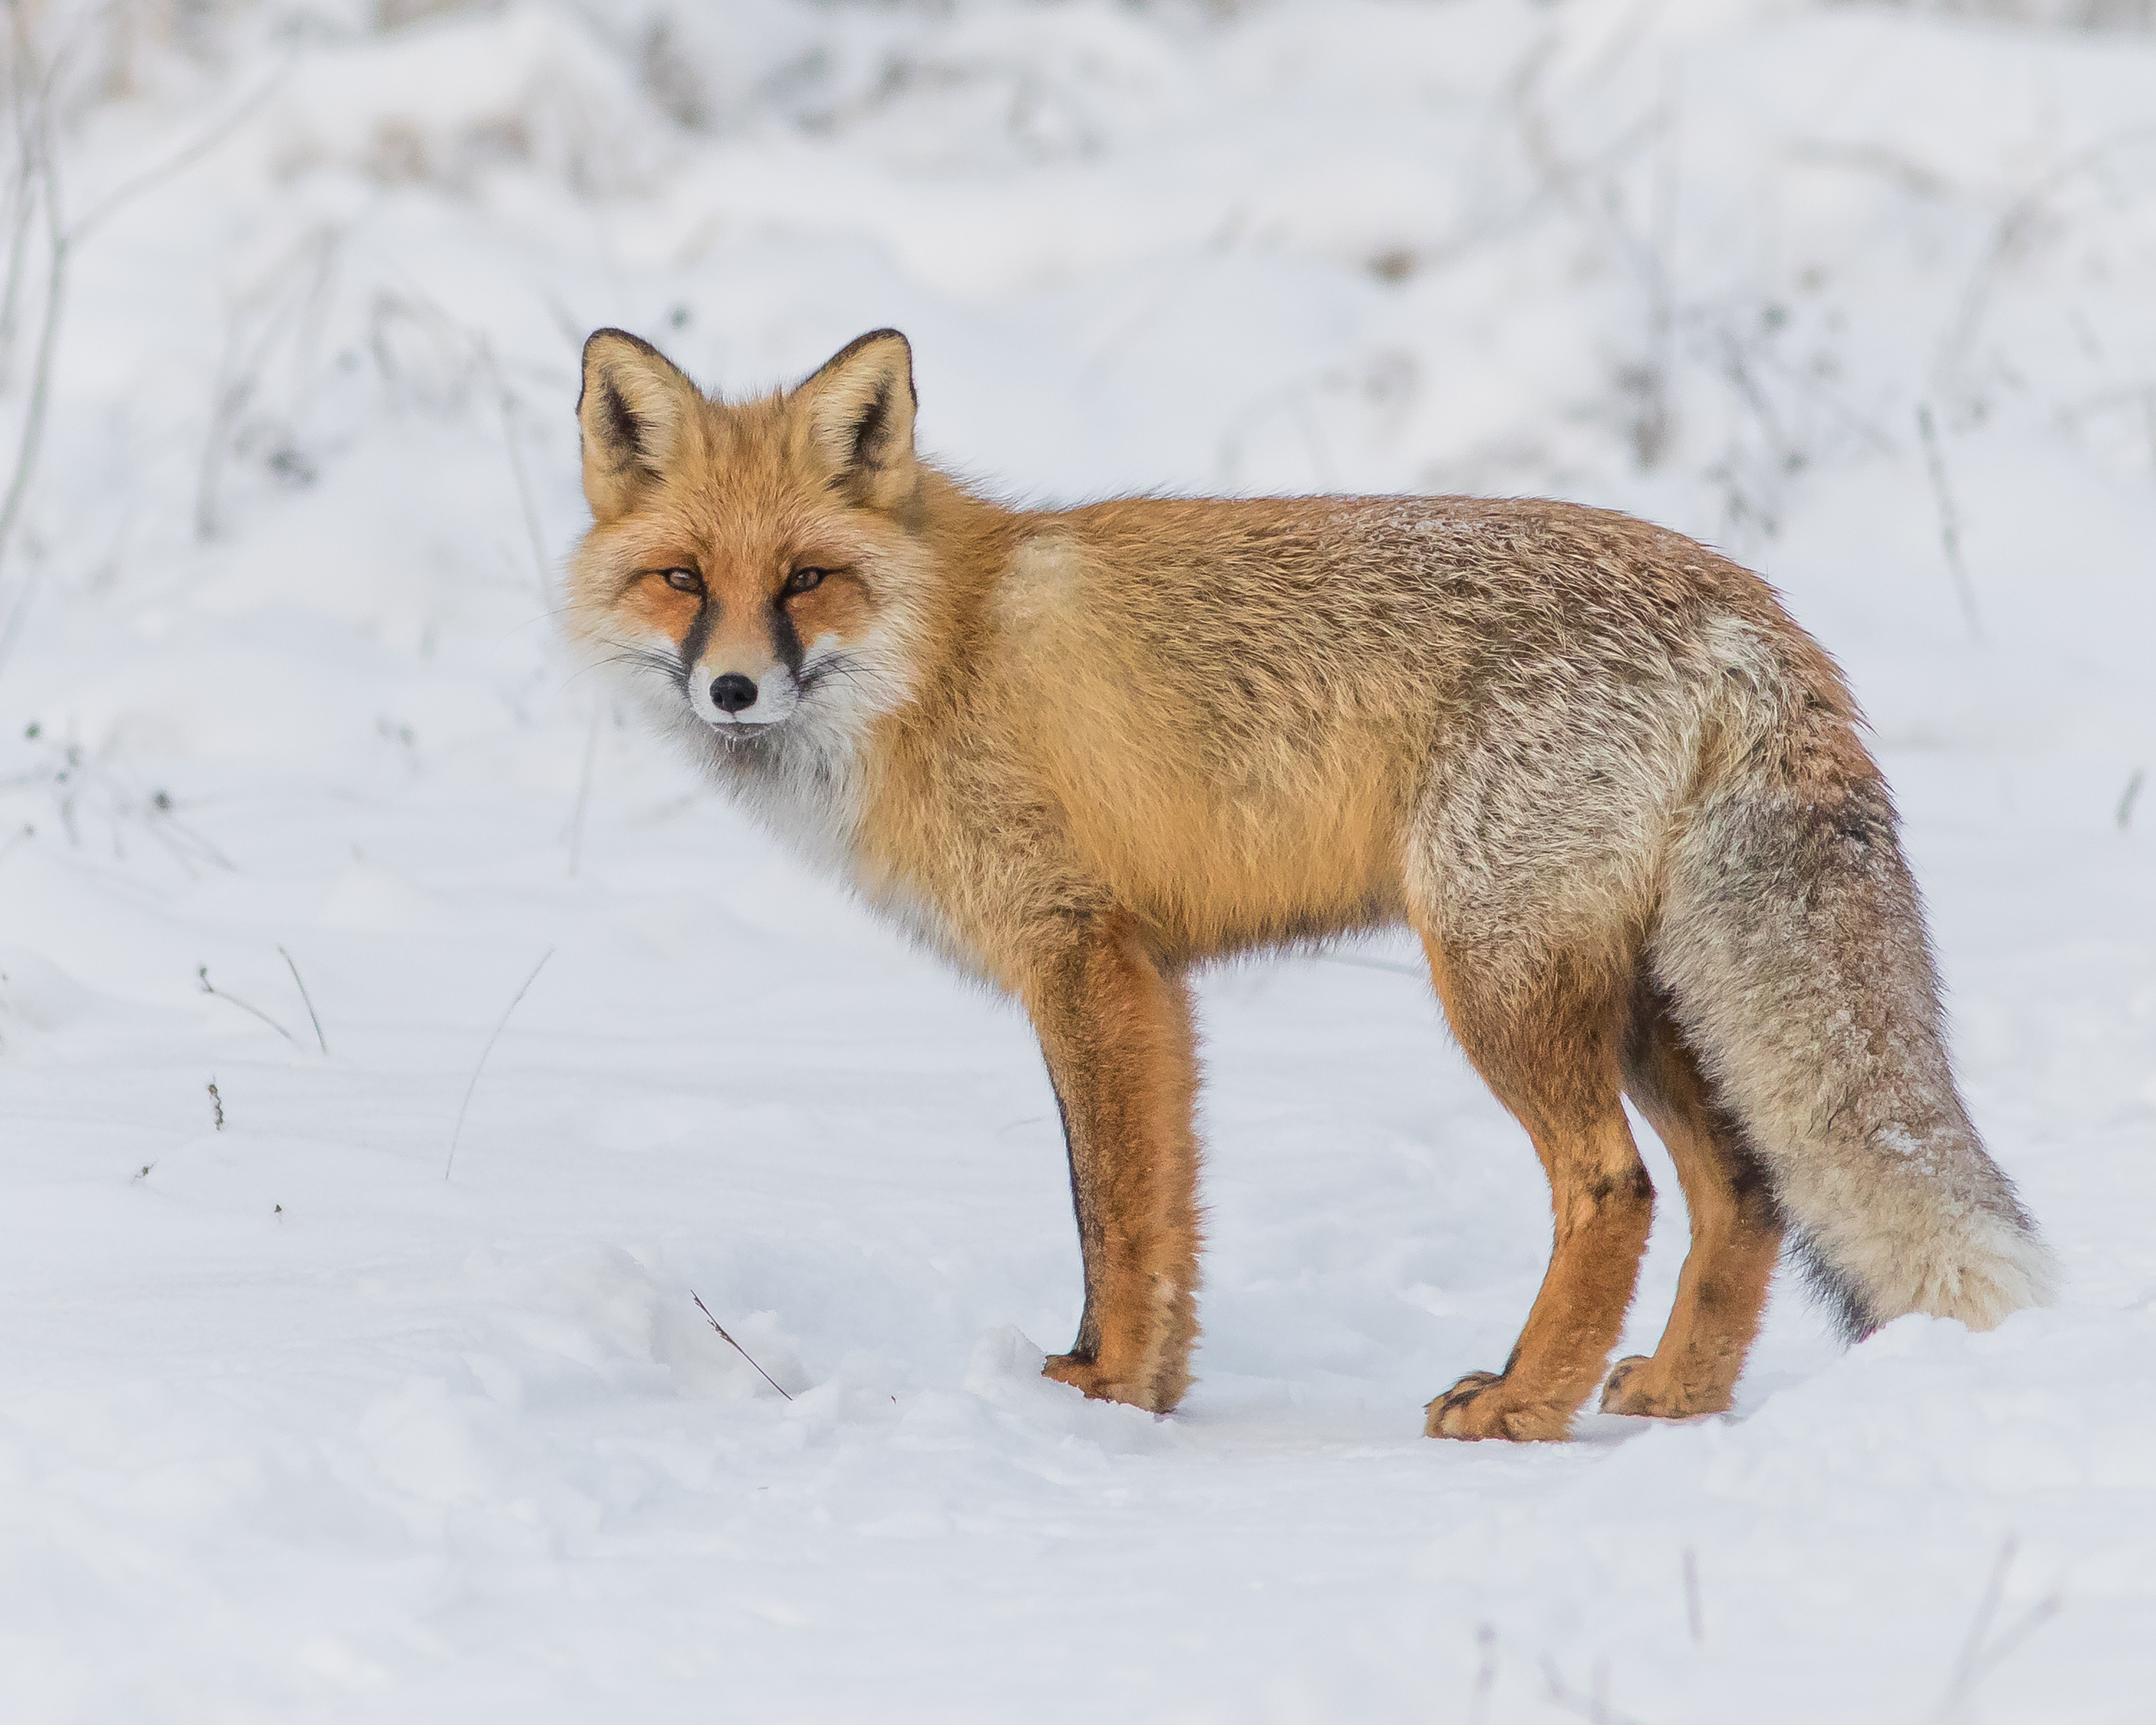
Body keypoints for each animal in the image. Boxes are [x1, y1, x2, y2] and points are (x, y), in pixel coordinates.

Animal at [561, 328, 2053, 1440]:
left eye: (808, 578)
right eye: (682, 579)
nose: (732, 688)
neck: (937, 655)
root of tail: (1747, 605)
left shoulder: (1084, 956)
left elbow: (1113, 1213)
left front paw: (1103, 1401)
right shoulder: (1144, 979)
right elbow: (1155, 1214)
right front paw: (1142, 1392)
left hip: (1500, 979)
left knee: (1613, 1186)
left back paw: (1523, 1403)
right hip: (1641, 993)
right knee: (1745, 1186)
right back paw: (1677, 1395)